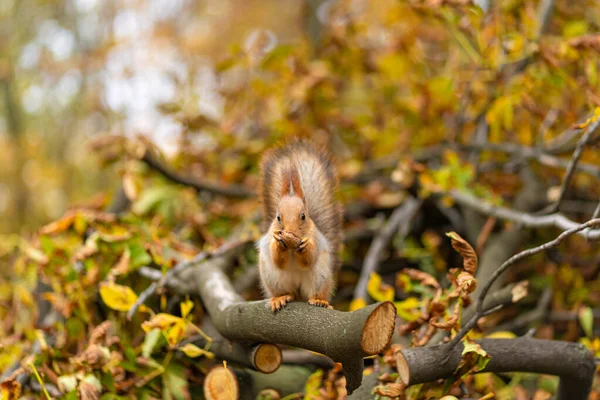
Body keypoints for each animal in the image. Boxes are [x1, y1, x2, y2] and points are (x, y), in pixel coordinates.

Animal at [256, 141, 342, 312]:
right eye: (278, 217)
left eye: (303, 216)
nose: (289, 232)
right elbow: (277, 260)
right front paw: (279, 244)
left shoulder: (316, 239)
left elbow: (308, 259)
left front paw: (305, 246)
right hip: (273, 278)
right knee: (287, 292)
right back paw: (280, 298)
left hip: (320, 277)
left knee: (315, 292)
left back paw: (319, 301)